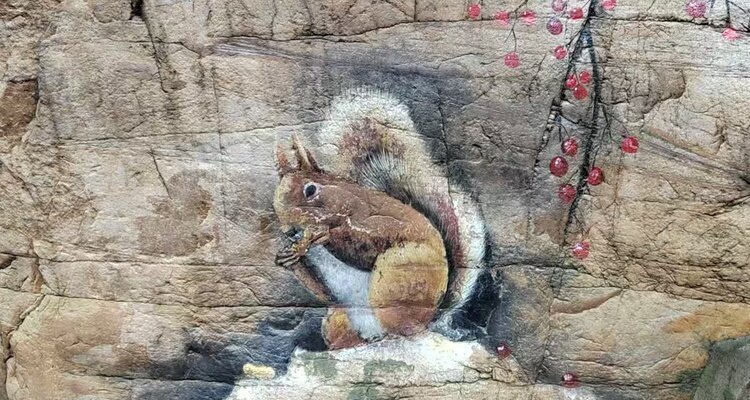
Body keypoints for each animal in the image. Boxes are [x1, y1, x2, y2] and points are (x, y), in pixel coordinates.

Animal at [273, 89, 488, 349]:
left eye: (310, 190)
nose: (287, 229)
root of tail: (430, 318)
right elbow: (323, 291)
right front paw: (287, 257)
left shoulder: (378, 221)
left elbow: (367, 242)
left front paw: (327, 234)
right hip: (339, 318)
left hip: (398, 277)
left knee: (406, 329)